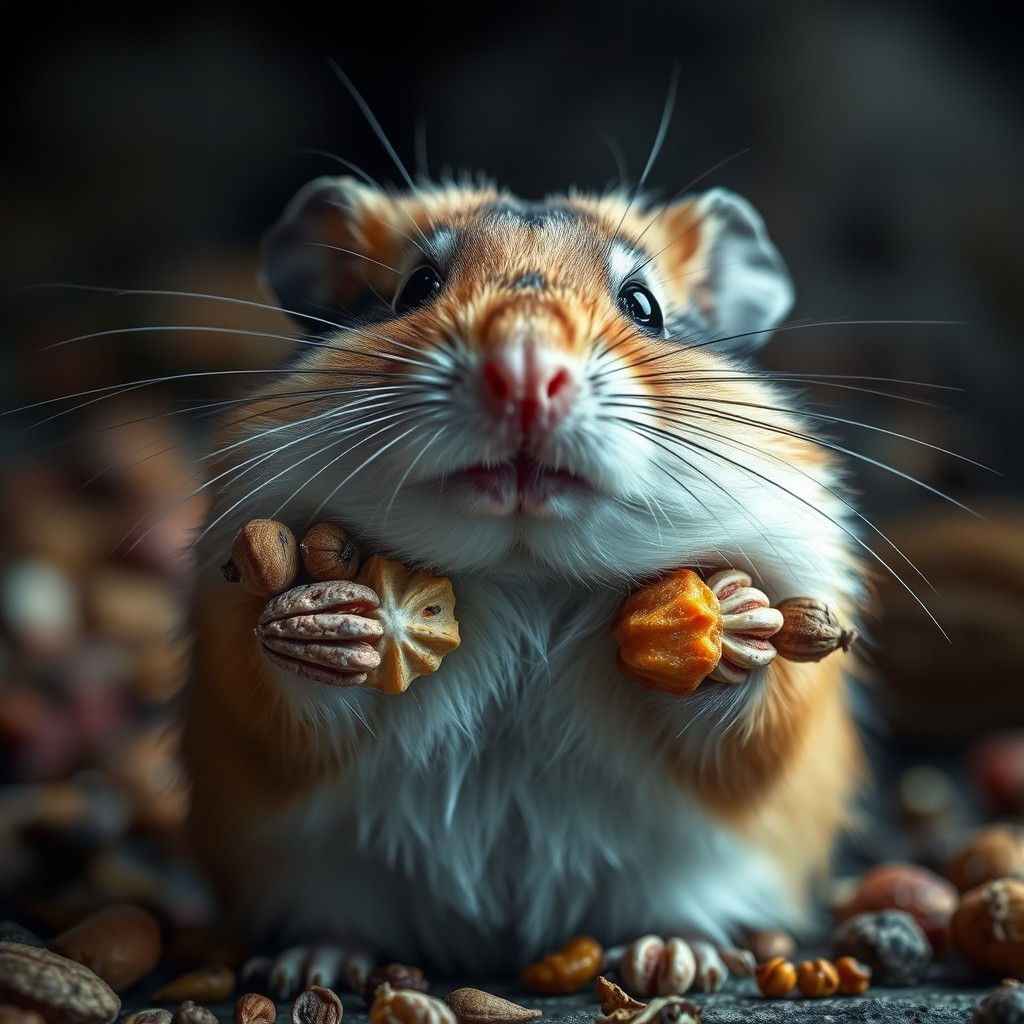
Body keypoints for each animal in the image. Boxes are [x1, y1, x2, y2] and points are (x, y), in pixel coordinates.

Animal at [181, 175, 866, 989]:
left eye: (644, 305)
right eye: (417, 286)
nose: (526, 374)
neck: (525, 567)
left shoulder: (783, 670)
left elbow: (753, 709)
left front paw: (733, 615)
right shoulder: (241, 667)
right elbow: (281, 680)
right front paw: (329, 630)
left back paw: (676, 959)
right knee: (336, 914)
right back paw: (310, 971)